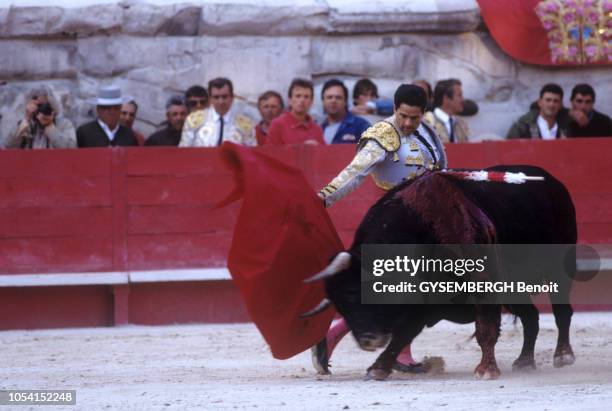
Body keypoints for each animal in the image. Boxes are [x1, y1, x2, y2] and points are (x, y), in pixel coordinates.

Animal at [306, 166, 580, 382]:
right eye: (341, 303)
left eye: (359, 292)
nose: (368, 340)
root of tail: (552, 181)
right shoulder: (422, 301)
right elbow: (404, 333)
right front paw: (379, 368)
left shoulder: (482, 289)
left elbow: (485, 329)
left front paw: (486, 370)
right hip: (515, 286)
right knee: (531, 317)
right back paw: (524, 361)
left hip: (559, 267)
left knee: (561, 311)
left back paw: (563, 355)